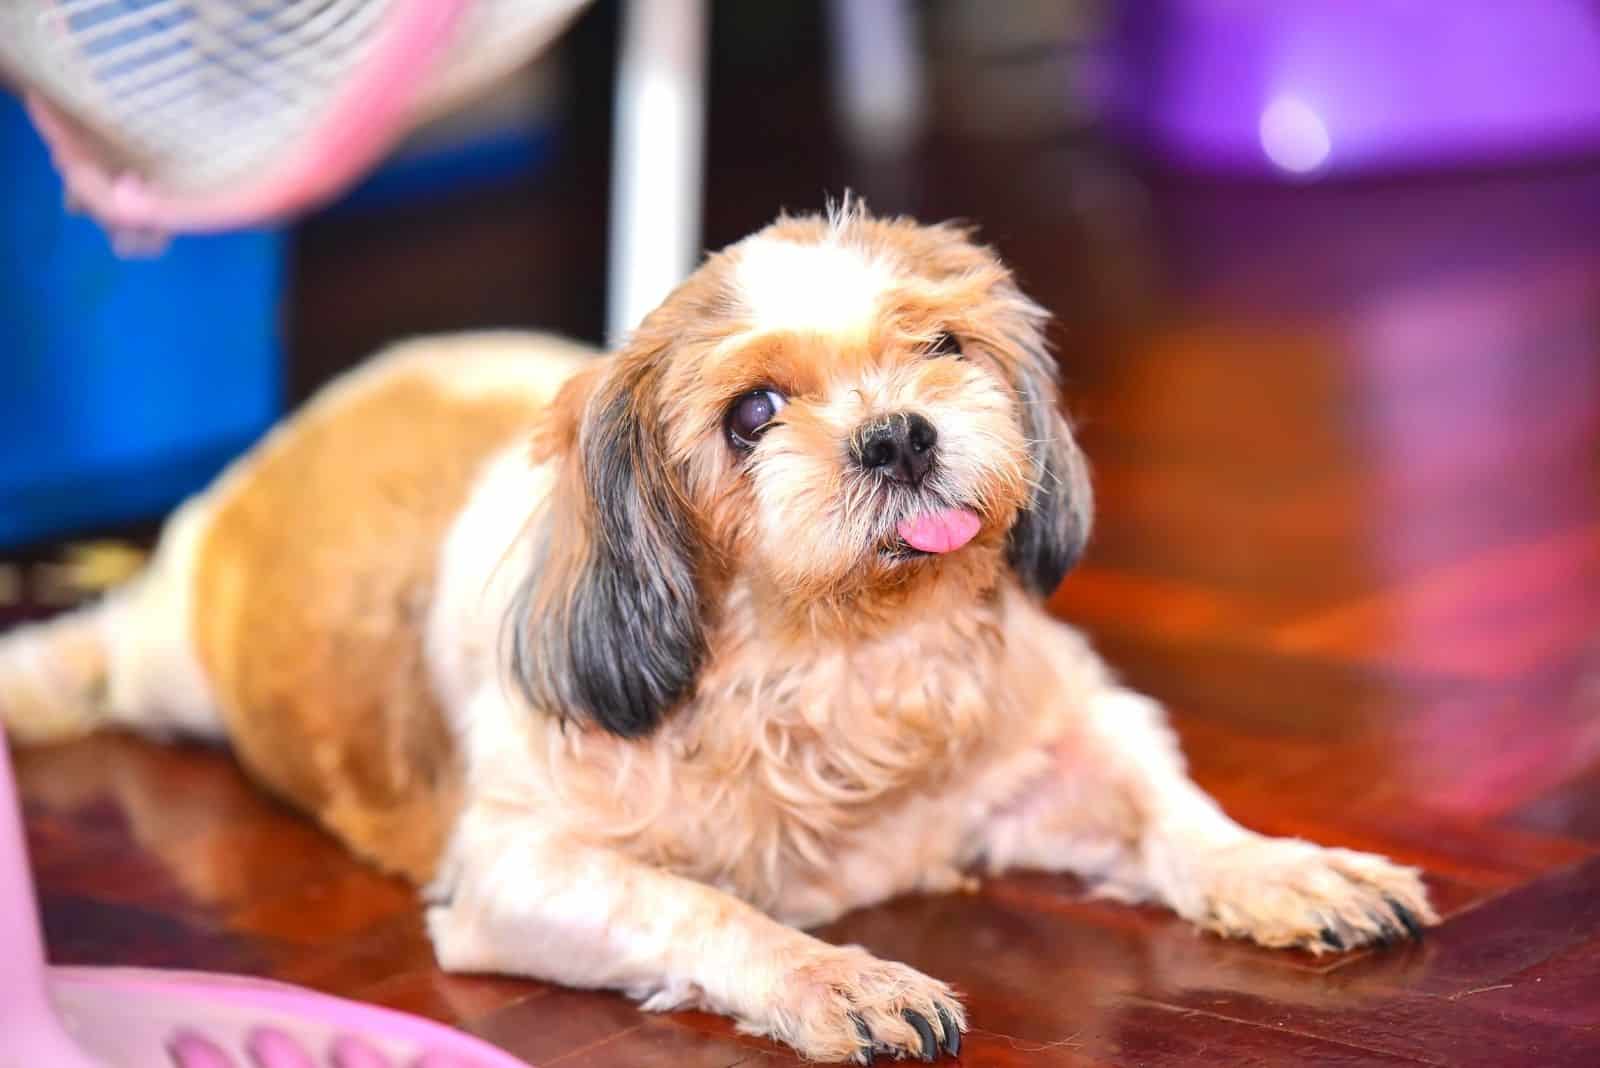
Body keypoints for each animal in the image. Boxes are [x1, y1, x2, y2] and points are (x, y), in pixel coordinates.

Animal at [0, 206, 1433, 1061]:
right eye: (752, 415)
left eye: (944, 346)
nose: (897, 433)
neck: (841, 653)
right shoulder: (517, 873)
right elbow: (703, 907)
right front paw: (836, 977)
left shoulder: (1067, 736)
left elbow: (1174, 815)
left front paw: (1289, 868)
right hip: (178, 662)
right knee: (103, 648)